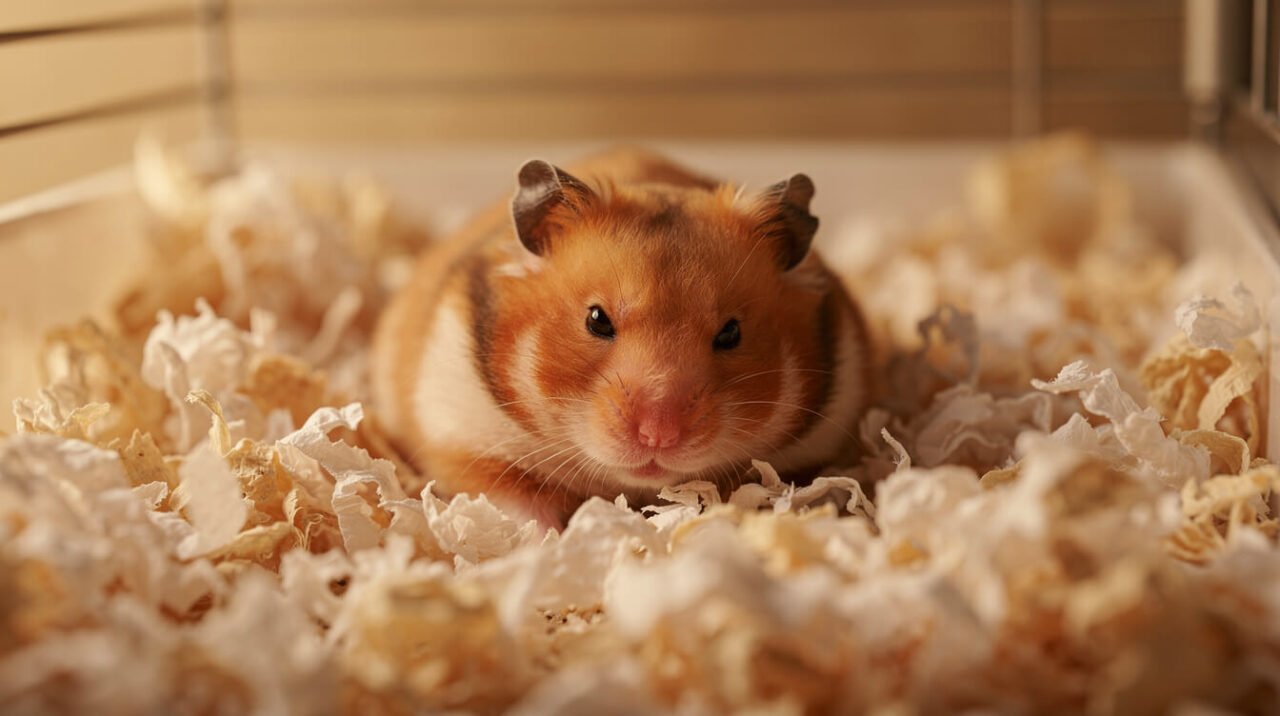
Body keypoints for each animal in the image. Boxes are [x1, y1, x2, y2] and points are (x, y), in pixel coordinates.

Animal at [372, 148, 871, 528]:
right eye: (597, 320)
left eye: (731, 332)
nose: (658, 435)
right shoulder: (467, 444)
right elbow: (522, 510)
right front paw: (556, 545)